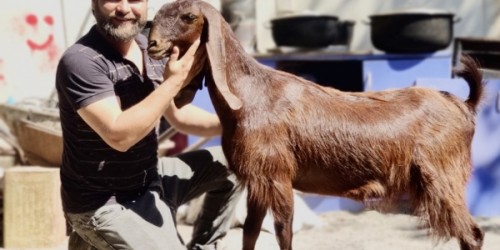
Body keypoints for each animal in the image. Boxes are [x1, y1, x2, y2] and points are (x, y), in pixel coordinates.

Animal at [147, 0, 484, 249]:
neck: (249, 95)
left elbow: (283, 231)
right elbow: (251, 232)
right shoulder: (258, 182)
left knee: (473, 234)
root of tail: (464, 105)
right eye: (154, 18)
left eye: (189, 16)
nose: (153, 45)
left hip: (442, 178)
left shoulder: (278, 177)